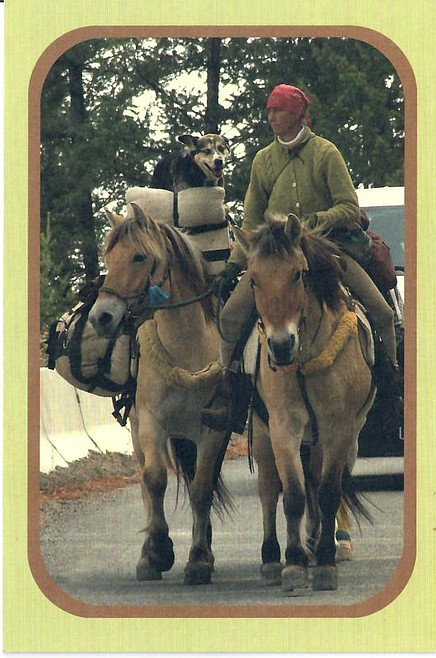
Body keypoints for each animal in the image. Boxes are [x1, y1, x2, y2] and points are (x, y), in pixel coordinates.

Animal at [88, 202, 232, 586]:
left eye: (139, 256)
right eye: (108, 257)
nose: (101, 317)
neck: (185, 349)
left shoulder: (213, 430)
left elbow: (201, 488)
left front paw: (199, 560)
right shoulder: (152, 423)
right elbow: (154, 479)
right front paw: (158, 551)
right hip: (139, 430)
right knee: (145, 481)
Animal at [236, 214, 376, 591]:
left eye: (298, 274)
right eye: (253, 280)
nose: (280, 345)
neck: (304, 359)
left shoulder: (339, 430)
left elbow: (327, 492)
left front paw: (324, 562)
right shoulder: (284, 428)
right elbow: (294, 495)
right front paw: (295, 563)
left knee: (317, 481)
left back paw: (316, 544)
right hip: (264, 435)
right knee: (270, 490)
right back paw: (272, 558)